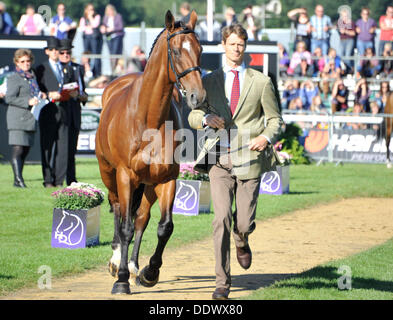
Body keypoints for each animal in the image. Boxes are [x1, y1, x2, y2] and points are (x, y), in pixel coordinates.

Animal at [95, 10, 205, 296]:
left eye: (200, 50)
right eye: (176, 51)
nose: (197, 96)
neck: (148, 119)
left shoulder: (167, 179)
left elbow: (164, 227)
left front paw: (149, 272)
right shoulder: (125, 176)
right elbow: (124, 227)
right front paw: (121, 280)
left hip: (148, 185)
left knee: (141, 218)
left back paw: (134, 267)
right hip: (109, 174)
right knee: (118, 210)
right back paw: (117, 263)